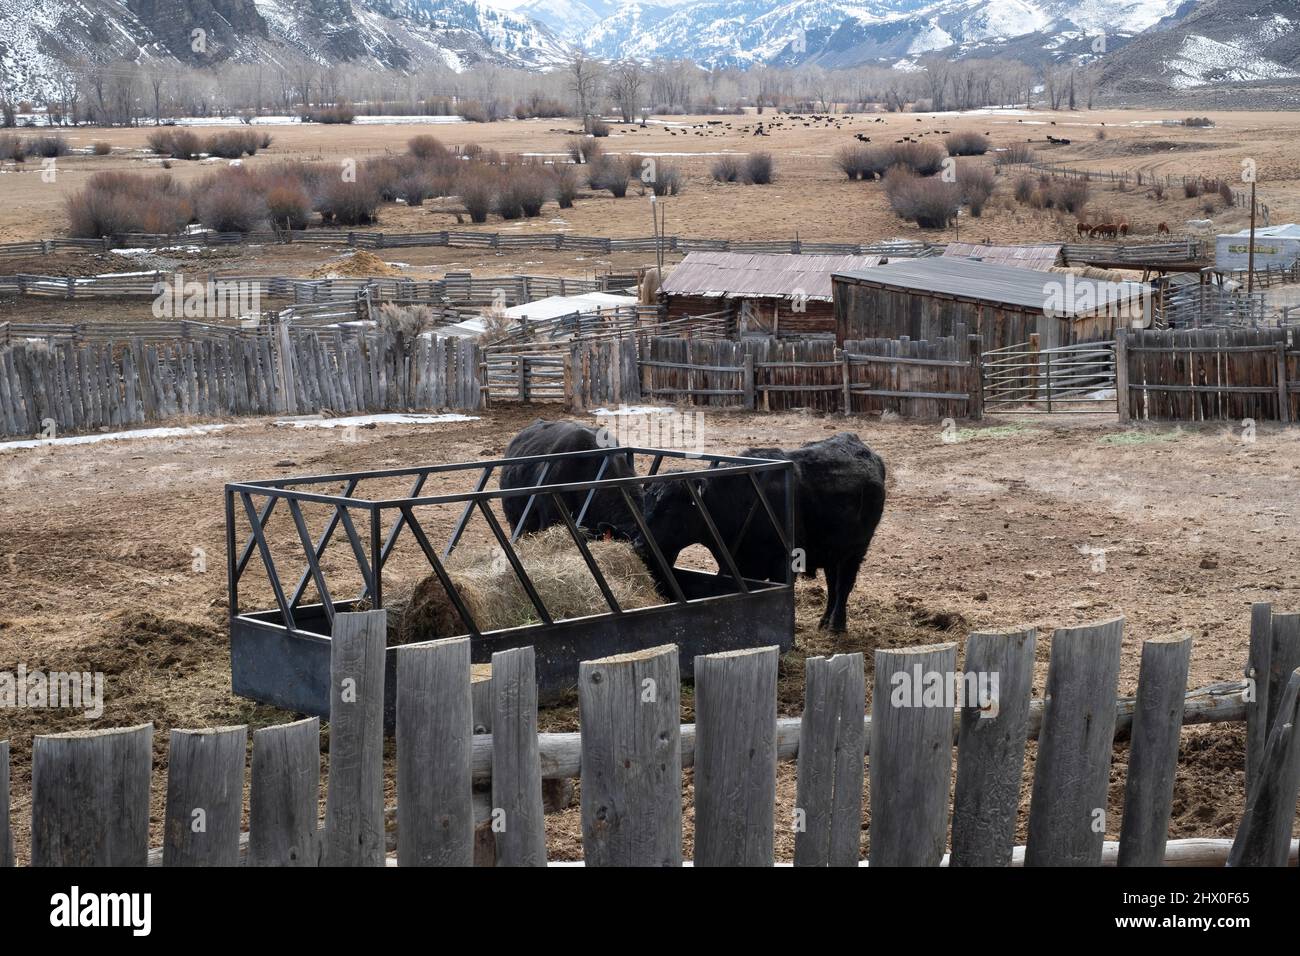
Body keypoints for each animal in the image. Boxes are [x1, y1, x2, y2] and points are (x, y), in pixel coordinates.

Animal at [637, 434, 883, 632]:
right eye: (645, 502)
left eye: (669, 508)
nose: (639, 544)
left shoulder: (783, 563)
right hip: (832, 549)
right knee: (833, 582)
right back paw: (824, 621)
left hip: (855, 549)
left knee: (843, 584)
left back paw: (837, 625)